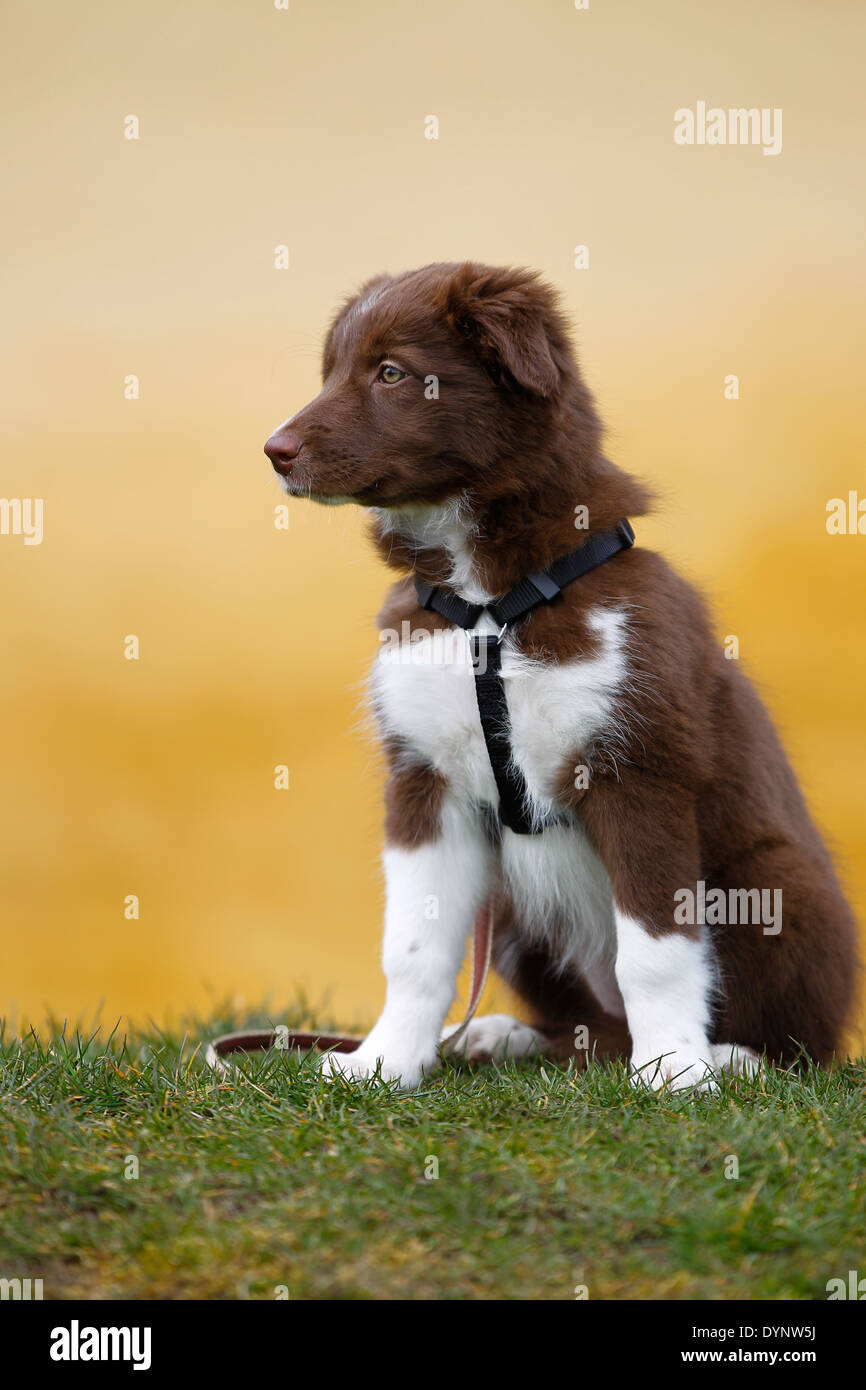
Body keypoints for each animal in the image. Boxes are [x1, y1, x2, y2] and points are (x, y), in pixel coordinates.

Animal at [264, 261, 861, 1084]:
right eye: (330, 371)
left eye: (391, 373)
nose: (273, 450)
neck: (489, 602)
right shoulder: (423, 776)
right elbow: (413, 948)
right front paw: (385, 1061)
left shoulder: (639, 769)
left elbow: (656, 950)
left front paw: (675, 1070)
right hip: (516, 910)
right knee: (591, 1033)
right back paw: (505, 1036)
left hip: (777, 883)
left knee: (799, 1043)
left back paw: (731, 1056)